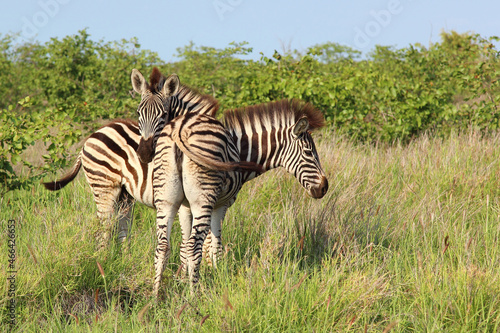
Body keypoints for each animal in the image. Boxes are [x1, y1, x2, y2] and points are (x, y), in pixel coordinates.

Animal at [44, 67, 220, 244]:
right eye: (138, 112)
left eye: (164, 114)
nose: (143, 153)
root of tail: (92, 136)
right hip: (104, 186)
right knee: (103, 230)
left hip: (124, 194)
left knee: (121, 229)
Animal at [150, 98, 326, 296]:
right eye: (309, 153)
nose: (324, 187)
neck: (242, 150)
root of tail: (180, 127)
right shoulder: (221, 204)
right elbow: (214, 246)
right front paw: (217, 278)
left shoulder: (185, 207)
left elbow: (184, 246)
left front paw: (182, 280)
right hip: (203, 199)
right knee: (194, 246)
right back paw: (193, 296)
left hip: (166, 199)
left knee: (163, 246)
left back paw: (156, 296)